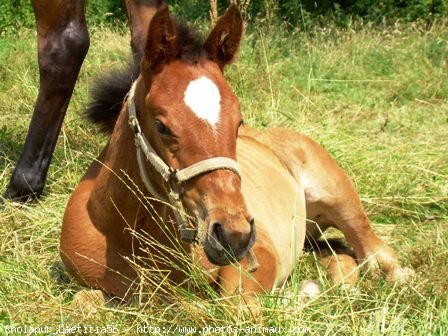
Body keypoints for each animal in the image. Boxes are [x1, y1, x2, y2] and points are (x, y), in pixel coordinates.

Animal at [61, 3, 412, 304]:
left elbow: (234, 304)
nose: (234, 235)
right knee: (338, 254)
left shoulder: (262, 255)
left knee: (375, 252)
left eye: (238, 121)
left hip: (340, 199)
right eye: (162, 126)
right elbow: (86, 303)